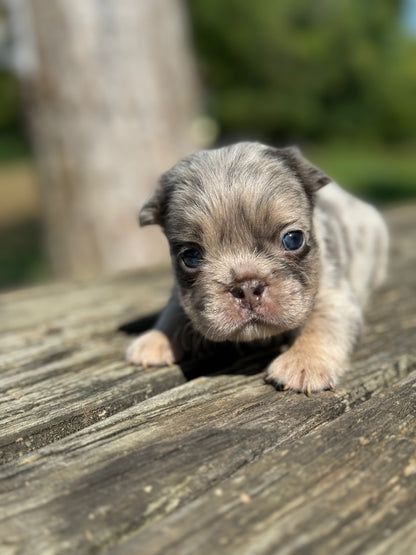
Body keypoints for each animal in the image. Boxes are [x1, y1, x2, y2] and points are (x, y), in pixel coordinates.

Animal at [125, 143, 388, 396]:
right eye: (190, 257)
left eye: (293, 239)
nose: (248, 288)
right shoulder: (181, 293)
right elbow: (175, 309)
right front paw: (158, 339)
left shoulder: (334, 293)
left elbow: (322, 324)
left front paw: (305, 362)